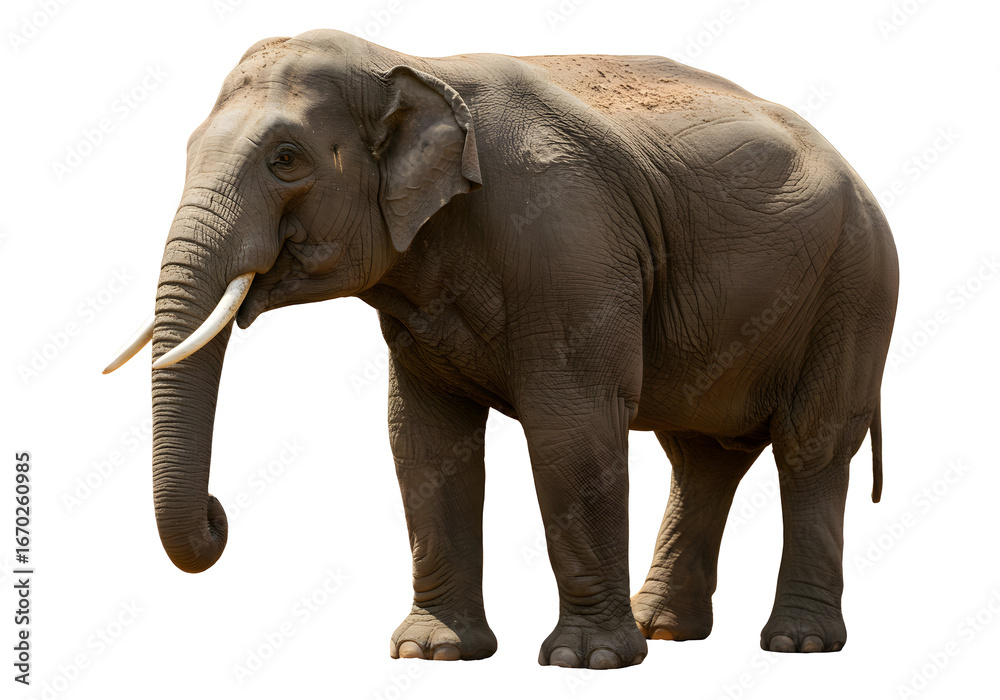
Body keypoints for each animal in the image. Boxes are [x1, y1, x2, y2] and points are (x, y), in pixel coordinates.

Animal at [105, 30, 898, 669]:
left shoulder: (570, 243)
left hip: (855, 287)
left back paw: (795, 644)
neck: (411, 63)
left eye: (286, 158)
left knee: (811, 445)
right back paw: (667, 631)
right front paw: (432, 654)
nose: (218, 515)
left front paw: (588, 661)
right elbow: (423, 439)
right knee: (703, 457)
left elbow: (569, 425)